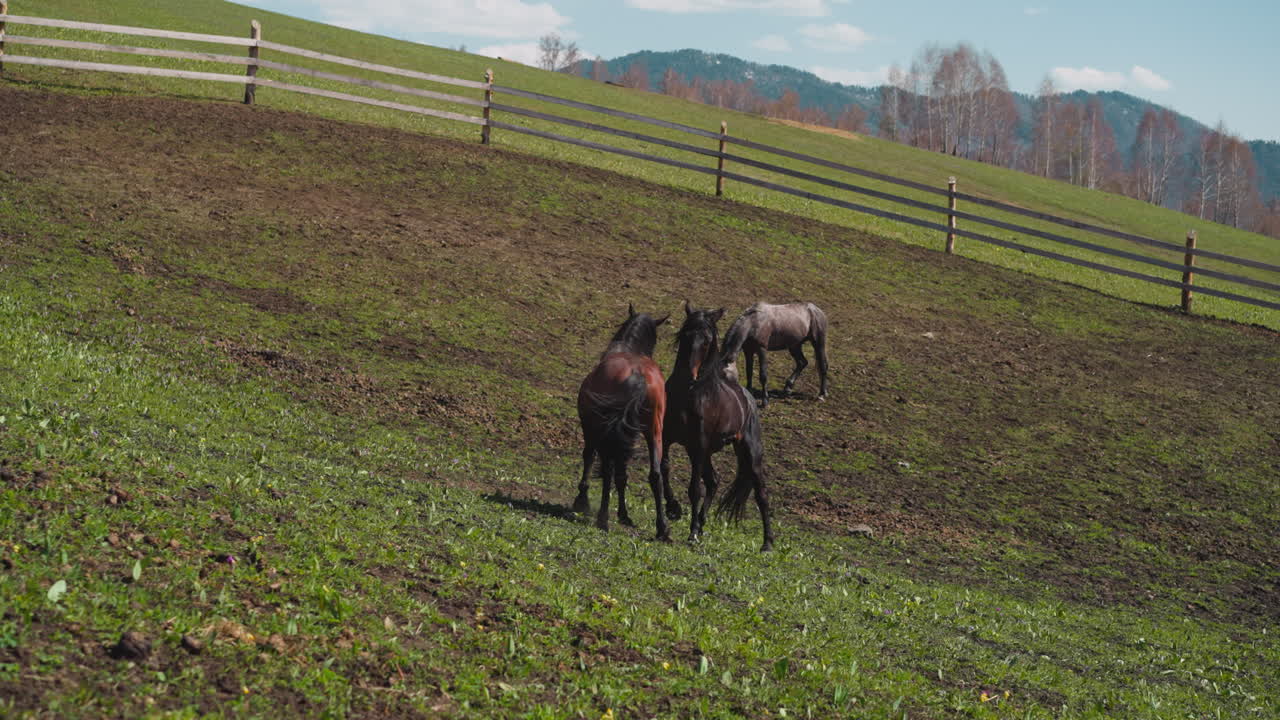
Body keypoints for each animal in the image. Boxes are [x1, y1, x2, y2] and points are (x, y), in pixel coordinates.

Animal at [574, 304, 673, 540]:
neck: (630, 350)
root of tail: (637, 375)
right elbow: (623, 475)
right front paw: (624, 514)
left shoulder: (592, 428)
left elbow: (589, 457)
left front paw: (582, 500)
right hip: (653, 431)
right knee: (654, 474)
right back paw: (662, 527)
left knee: (608, 469)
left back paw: (602, 518)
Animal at [663, 302, 774, 551]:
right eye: (685, 335)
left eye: (707, 341)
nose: (689, 375)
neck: (690, 394)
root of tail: (748, 399)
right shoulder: (667, 437)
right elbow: (663, 468)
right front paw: (673, 509)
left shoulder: (700, 443)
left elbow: (694, 489)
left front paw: (692, 533)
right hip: (700, 451)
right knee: (713, 481)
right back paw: (701, 524)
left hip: (748, 452)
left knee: (761, 493)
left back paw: (767, 543)